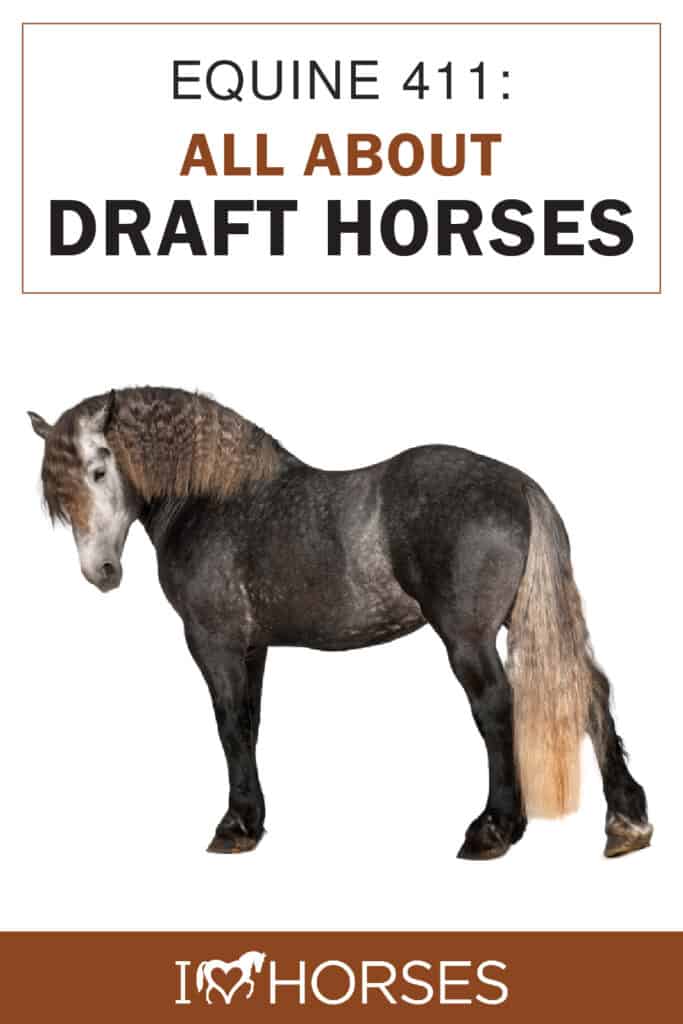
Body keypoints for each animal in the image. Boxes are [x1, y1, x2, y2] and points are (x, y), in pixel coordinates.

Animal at [28, 386, 652, 860]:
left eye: (99, 470)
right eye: (59, 495)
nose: (101, 572)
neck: (214, 500)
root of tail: (520, 485)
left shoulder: (214, 643)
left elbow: (229, 725)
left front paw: (234, 826)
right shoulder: (253, 649)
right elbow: (250, 724)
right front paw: (252, 819)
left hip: (468, 640)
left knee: (497, 708)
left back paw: (492, 829)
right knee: (590, 690)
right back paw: (626, 821)